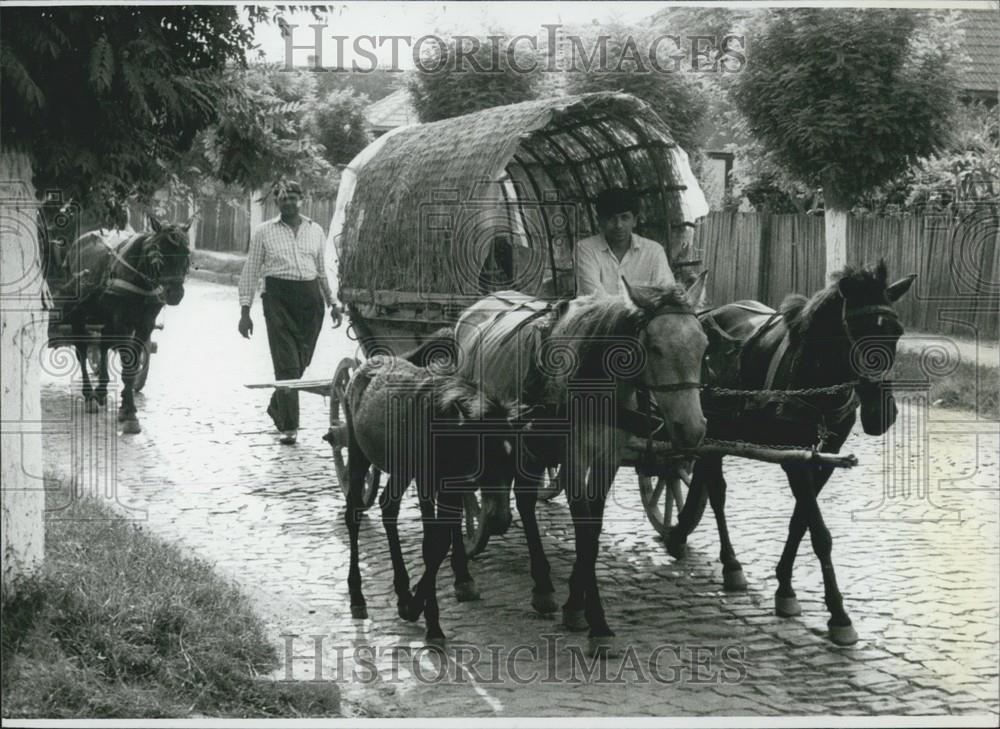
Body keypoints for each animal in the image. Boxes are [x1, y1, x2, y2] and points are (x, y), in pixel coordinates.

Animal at [55, 215, 192, 433]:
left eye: (186, 252)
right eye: (159, 251)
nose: (175, 293)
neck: (139, 275)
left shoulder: (145, 324)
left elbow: (134, 362)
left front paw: (126, 407)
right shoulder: (123, 323)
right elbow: (127, 362)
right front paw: (129, 413)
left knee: (102, 345)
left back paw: (101, 390)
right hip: (78, 312)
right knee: (82, 351)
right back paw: (89, 395)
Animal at [342, 355, 520, 646]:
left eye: (513, 465)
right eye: (485, 462)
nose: (500, 520)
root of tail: (367, 363)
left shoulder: (452, 485)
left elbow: (442, 542)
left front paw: (415, 604)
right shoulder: (426, 484)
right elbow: (432, 546)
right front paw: (431, 621)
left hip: (401, 469)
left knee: (388, 507)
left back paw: (402, 590)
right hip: (358, 451)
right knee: (353, 514)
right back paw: (357, 597)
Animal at [445, 276, 708, 656]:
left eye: (704, 347)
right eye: (655, 348)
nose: (693, 430)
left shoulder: (607, 458)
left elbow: (593, 528)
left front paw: (577, 602)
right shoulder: (573, 457)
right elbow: (583, 527)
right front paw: (593, 619)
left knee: (526, 501)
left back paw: (541, 583)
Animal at [667, 260, 916, 645]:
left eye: (897, 331)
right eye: (854, 331)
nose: (882, 415)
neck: (812, 368)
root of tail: (704, 316)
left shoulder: (827, 456)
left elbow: (801, 520)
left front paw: (784, 586)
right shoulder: (793, 459)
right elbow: (819, 532)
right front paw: (839, 615)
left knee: (704, 481)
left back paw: (680, 533)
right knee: (718, 493)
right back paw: (729, 563)